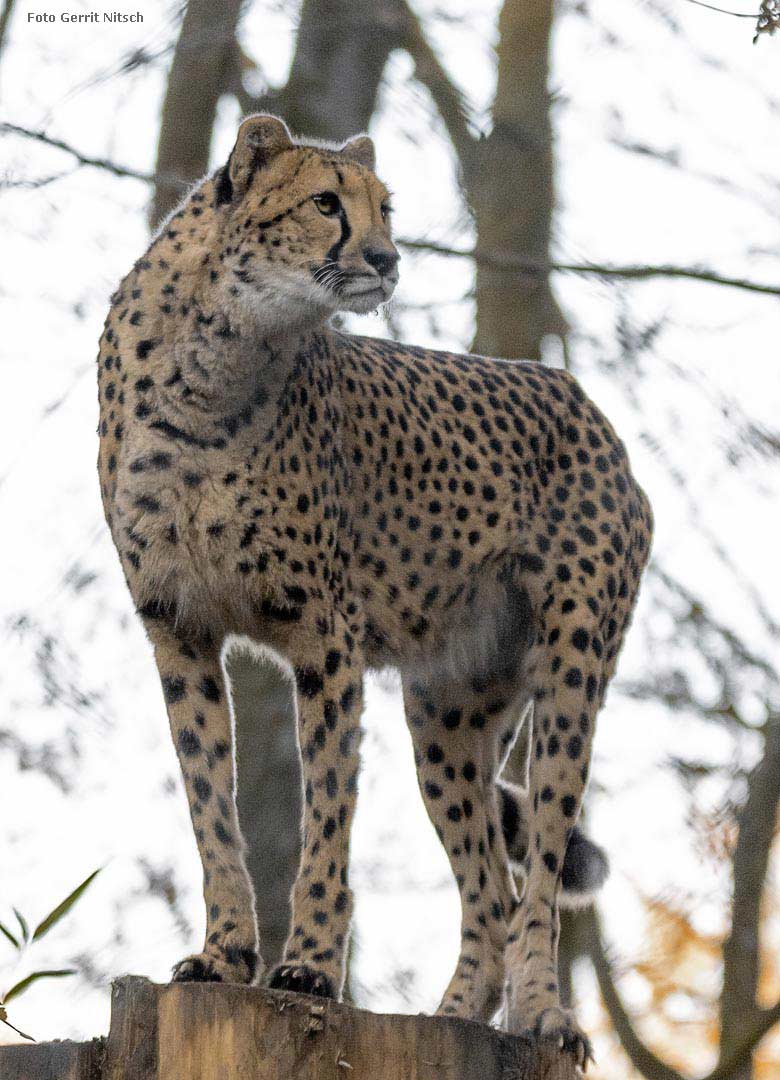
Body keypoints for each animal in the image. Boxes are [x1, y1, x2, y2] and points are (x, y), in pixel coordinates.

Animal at [95, 113, 648, 1058]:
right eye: (326, 203)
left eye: (385, 209)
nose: (387, 259)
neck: (212, 354)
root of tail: (580, 398)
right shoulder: (177, 629)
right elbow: (211, 808)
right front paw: (223, 954)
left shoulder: (328, 639)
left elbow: (327, 815)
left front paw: (311, 968)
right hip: (447, 711)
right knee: (489, 889)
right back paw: (451, 1017)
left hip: (571, 673)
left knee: (538, 870)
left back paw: (544, 1014)